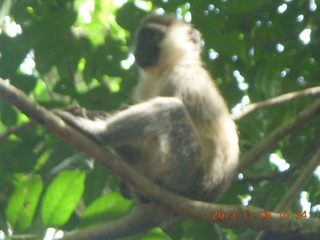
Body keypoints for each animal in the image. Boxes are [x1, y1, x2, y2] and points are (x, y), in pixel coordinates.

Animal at [56, 14, 239, 238]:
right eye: (141, 37)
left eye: (152, 36)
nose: (139, 48)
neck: (165, 69)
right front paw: (82, 112)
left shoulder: (183, 78)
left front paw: (92, 123)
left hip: (182, 170)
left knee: (170, 109)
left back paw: (99, 132)